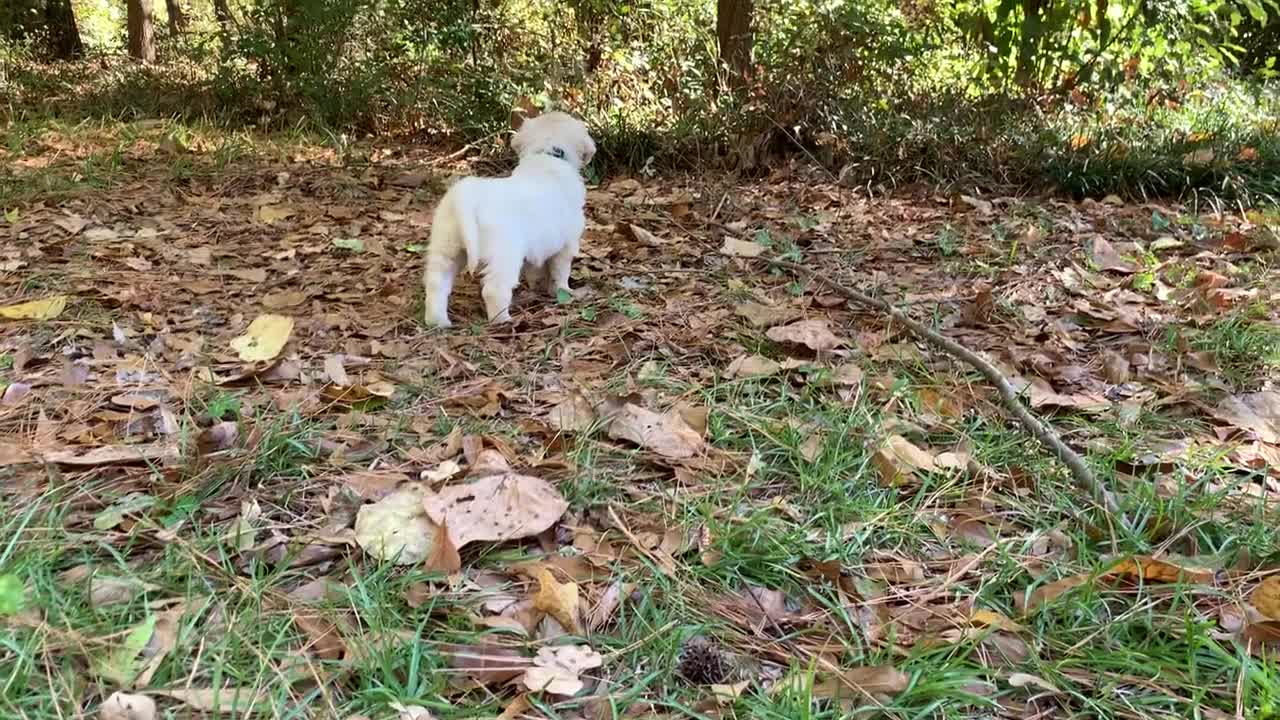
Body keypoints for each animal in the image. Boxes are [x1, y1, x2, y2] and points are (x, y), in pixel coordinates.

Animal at [422, 111, 596, 325]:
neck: (546, 156)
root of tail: (466, 197)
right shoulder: (567, 244)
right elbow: (560, 271)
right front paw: (563, 291)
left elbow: (535, 271)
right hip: (504, 254)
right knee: (494, 289)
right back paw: (503, 320)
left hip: (446, 246)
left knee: (436, 283)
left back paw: (438, 322)